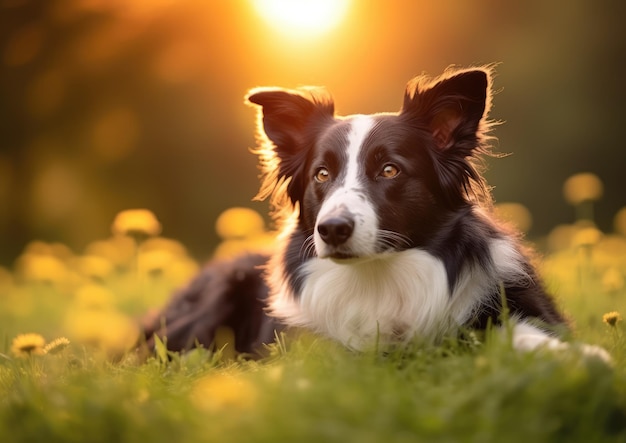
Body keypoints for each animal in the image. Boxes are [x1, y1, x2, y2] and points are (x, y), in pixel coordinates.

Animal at [141, 67, 608, 362]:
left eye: (389, 170)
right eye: (322, 174)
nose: (331, 230)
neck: (380, 278)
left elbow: (524, 334)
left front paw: (581, 358)